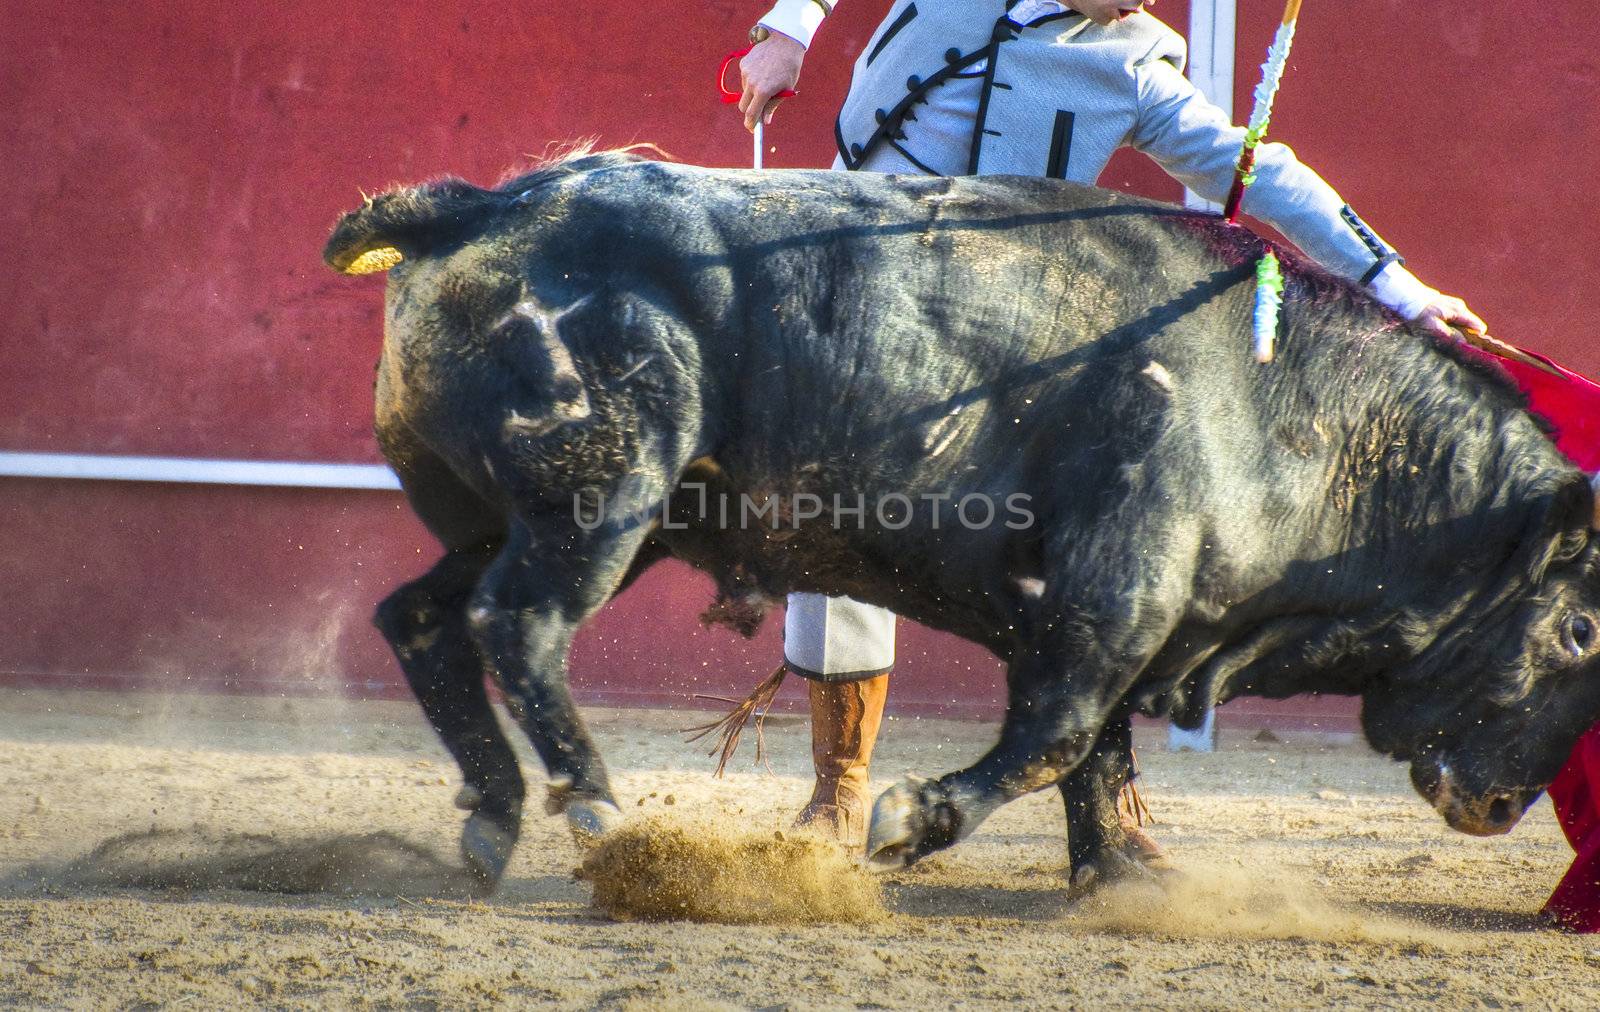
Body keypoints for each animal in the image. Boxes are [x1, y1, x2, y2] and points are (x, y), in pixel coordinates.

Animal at [324, 152, 1600, 890]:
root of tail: (482, 209)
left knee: (424, 619)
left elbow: (1096, 747)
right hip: (601, 503)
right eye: (1581, 632)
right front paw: (906, 822)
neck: (1283, 405)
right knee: (518, 624)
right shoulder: (1115, 593)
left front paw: (1124, 877)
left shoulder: (1128, 617)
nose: (1499, 808)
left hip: (529, 520)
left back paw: (492, 816)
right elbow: (1056, 736)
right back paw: (589, 798)